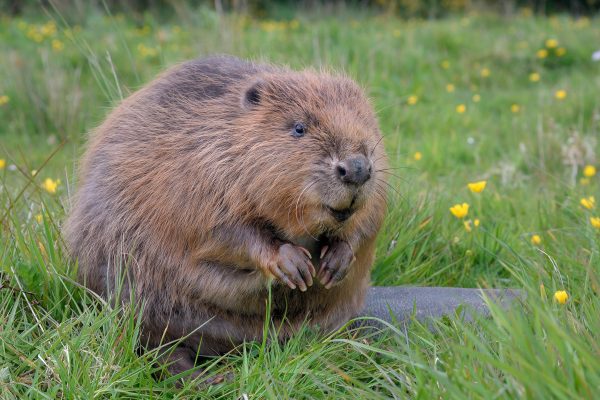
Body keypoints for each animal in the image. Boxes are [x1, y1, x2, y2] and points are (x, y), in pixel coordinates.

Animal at [63, 55, 386, 378]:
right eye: (298, 128)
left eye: (365, 121)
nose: (356, 168)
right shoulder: (198, 172)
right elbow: (223, 232)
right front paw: (292, 264)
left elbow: (369, 219)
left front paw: (336, 261)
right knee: (154, 344)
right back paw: (207, 378)